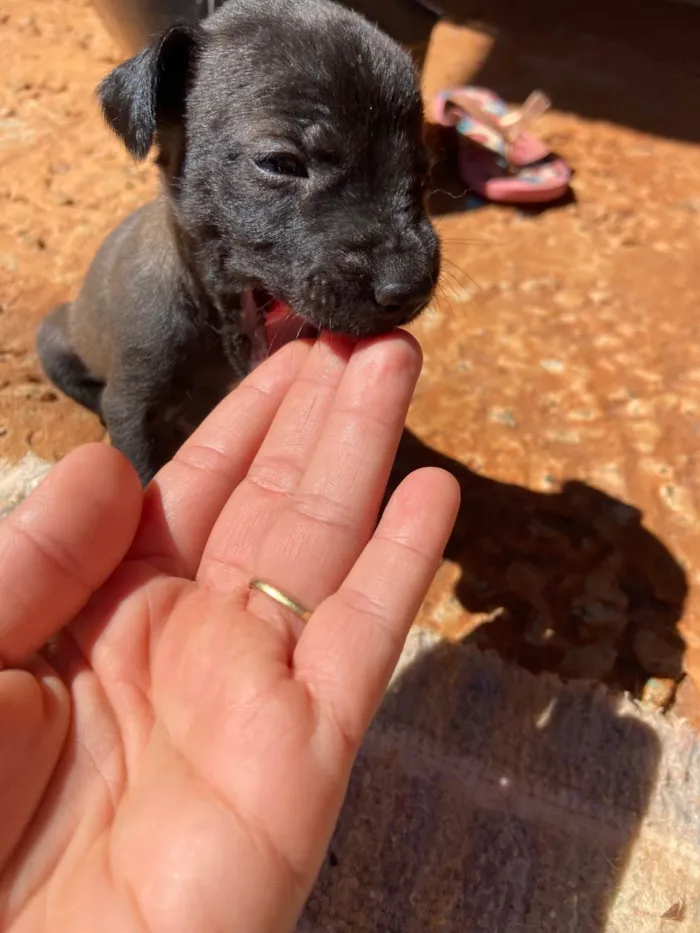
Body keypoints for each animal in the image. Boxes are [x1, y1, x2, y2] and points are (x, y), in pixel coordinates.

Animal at [37, 0, 438, 484]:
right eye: (280, 163)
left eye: (423, 172)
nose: (411, 287)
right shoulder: (131, 409)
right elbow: (141, 470)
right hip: (53, 338)